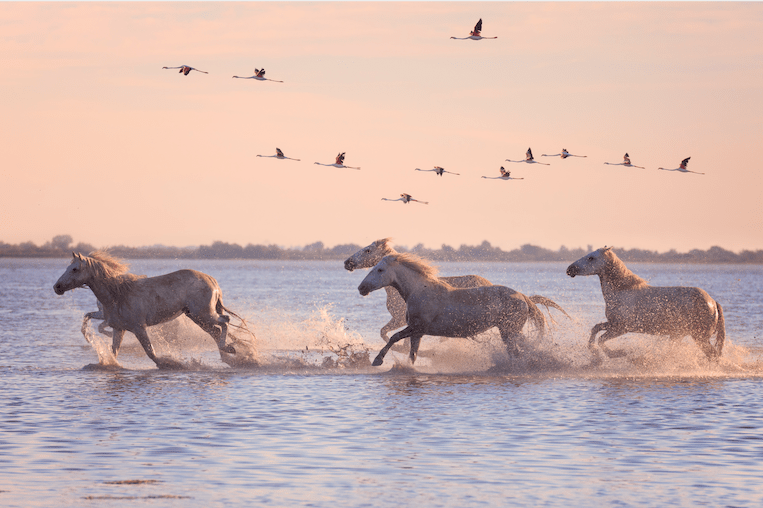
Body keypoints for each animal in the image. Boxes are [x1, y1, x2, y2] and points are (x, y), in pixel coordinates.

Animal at [53, 252, 251, 368]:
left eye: (74, 268)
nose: (57, 287)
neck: (117, 294)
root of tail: (211, 280)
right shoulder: (118, 328)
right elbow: (112, 350)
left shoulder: (139, 328)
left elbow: (151, 353)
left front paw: (169, 364)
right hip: (196, 317)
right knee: (216, 331)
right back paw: (229, 356)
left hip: (204, 314)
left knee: (225, 322)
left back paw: (230, 350)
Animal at [358, 253, 560, 366]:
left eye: (380, 270)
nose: (361, 288)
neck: (419, 291)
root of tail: (523, 297)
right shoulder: (418, 332)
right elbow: (412, 354)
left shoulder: (417, 327)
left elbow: (393, 337)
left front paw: (377, 361)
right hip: (509, 332)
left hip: (510, 331)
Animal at [568, 247, 728, 360]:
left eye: (591, 257)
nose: (569, 269)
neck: (622, 292)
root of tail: (713, 302)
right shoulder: (612, 323)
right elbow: (595, 329)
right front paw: (594, 352)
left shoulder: (621, 328)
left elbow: (601, 339)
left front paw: (618, 354)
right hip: (680, 335)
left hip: (699, 338)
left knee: (713, 356)